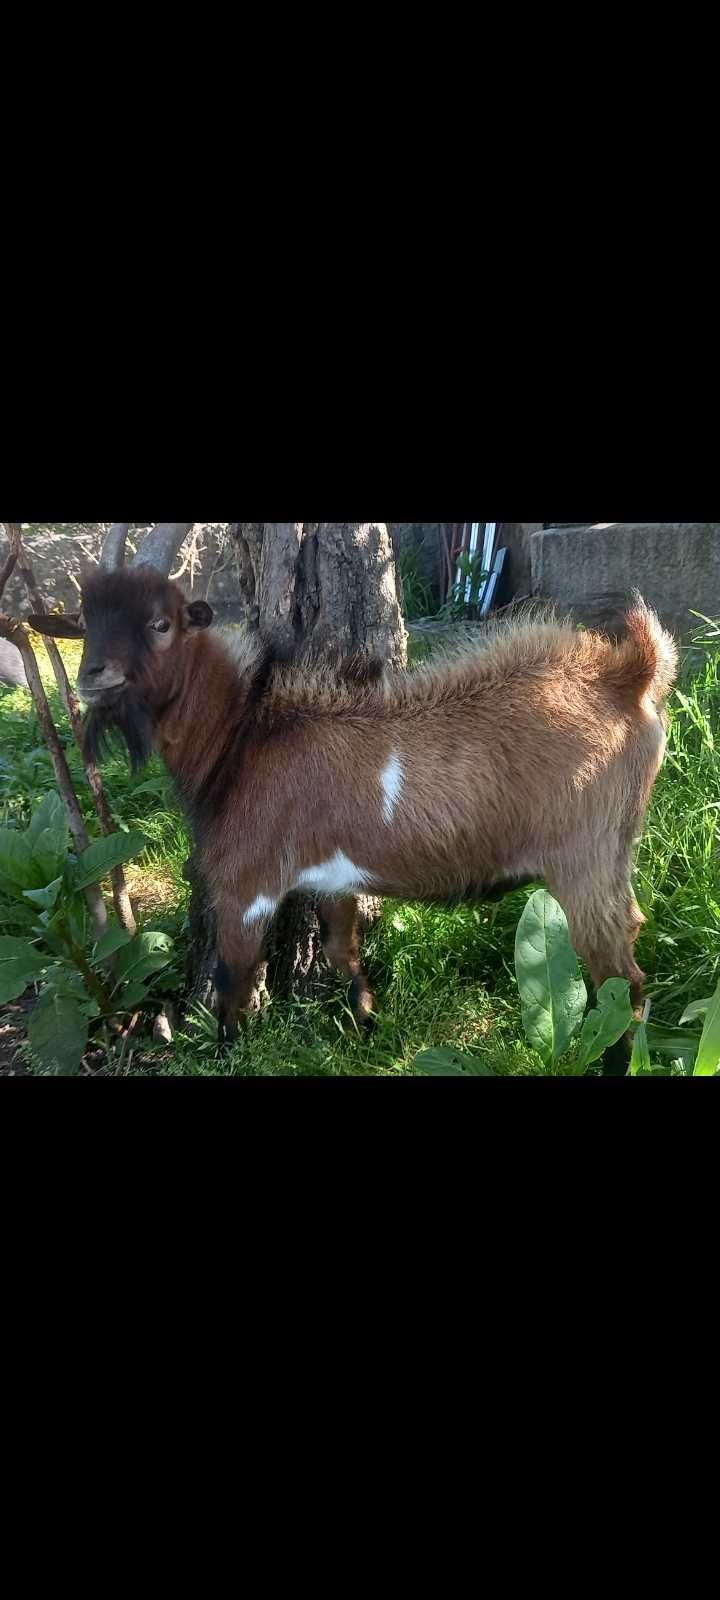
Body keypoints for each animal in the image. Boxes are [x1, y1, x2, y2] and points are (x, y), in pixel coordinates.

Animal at [29, 524, 681, 1049]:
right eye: (86, 622)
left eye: (161, 623)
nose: (93, 675)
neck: (246, 735)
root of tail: (630, 675)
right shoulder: (333, 879)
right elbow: (343, 949)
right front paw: (368, 1022)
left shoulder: (246, 885)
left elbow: (233, 979)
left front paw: (226, 1048)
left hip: (585, 857)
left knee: (621, 972)